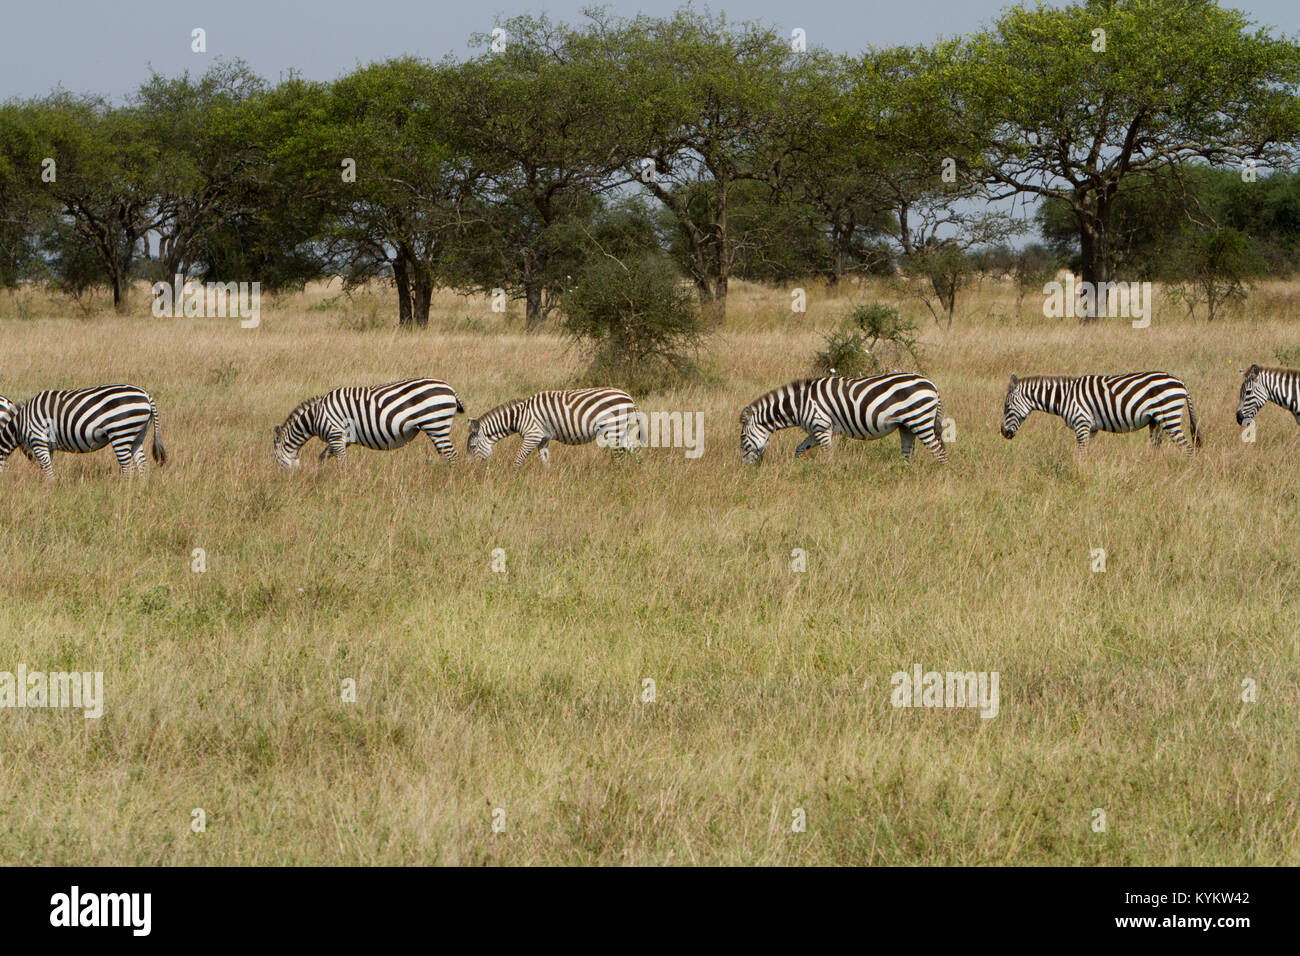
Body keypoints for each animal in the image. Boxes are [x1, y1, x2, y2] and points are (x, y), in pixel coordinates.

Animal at [0, 385, 166, 478]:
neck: (19, 424)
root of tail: (146, 395)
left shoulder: (38, 441)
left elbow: (47, 470)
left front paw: (50, 491)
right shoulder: (47, 446)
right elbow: (46, 468)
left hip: (121, 433)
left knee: (128, 468)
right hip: (137, 435)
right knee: (142, 464)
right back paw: (140, 489)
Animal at [273, 379, 463, 468]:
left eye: (276, 460)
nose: (282, 481)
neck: (315, 417)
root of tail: (450, 388)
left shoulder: (335, 434)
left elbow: (341, 462)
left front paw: (342, 483)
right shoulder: (343, 439)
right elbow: (323, 457)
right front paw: (322, 475)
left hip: (436, 425)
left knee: (452, 455)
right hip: (437, 427)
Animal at [466, 387, 641, 467]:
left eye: (472, 447)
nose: (469, 471)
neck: (518, 417)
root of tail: (629, 397)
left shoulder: (532, 436)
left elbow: (518, 460)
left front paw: (512, 479)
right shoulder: (543, 439)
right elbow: (545, 462)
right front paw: (547, 480)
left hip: (613, 430)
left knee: (619, 457)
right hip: (621, 431)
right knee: (636, 452)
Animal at [739, 373, 948, 464]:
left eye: (742, 439)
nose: (745, 469)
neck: (800, 405)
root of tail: (932, 385)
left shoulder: (821, 426)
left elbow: (828, 454)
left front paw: (829, 475)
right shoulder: (816, 430)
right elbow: (799, 449)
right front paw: (797, 467)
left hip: (920, 421)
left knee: (939, 452)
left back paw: (941, 477)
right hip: (906, 426)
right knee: (908, 454)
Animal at [1000, 372, 1201, 451]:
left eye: (1007, 408)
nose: (1003, 433)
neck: (1064, 397)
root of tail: (1181, 383)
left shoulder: (1081, 423)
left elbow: (1081, 453)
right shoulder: (1092, 428)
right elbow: (1086, 452)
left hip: (1169, 417)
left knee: (1187, 448)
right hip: (1156, 422)